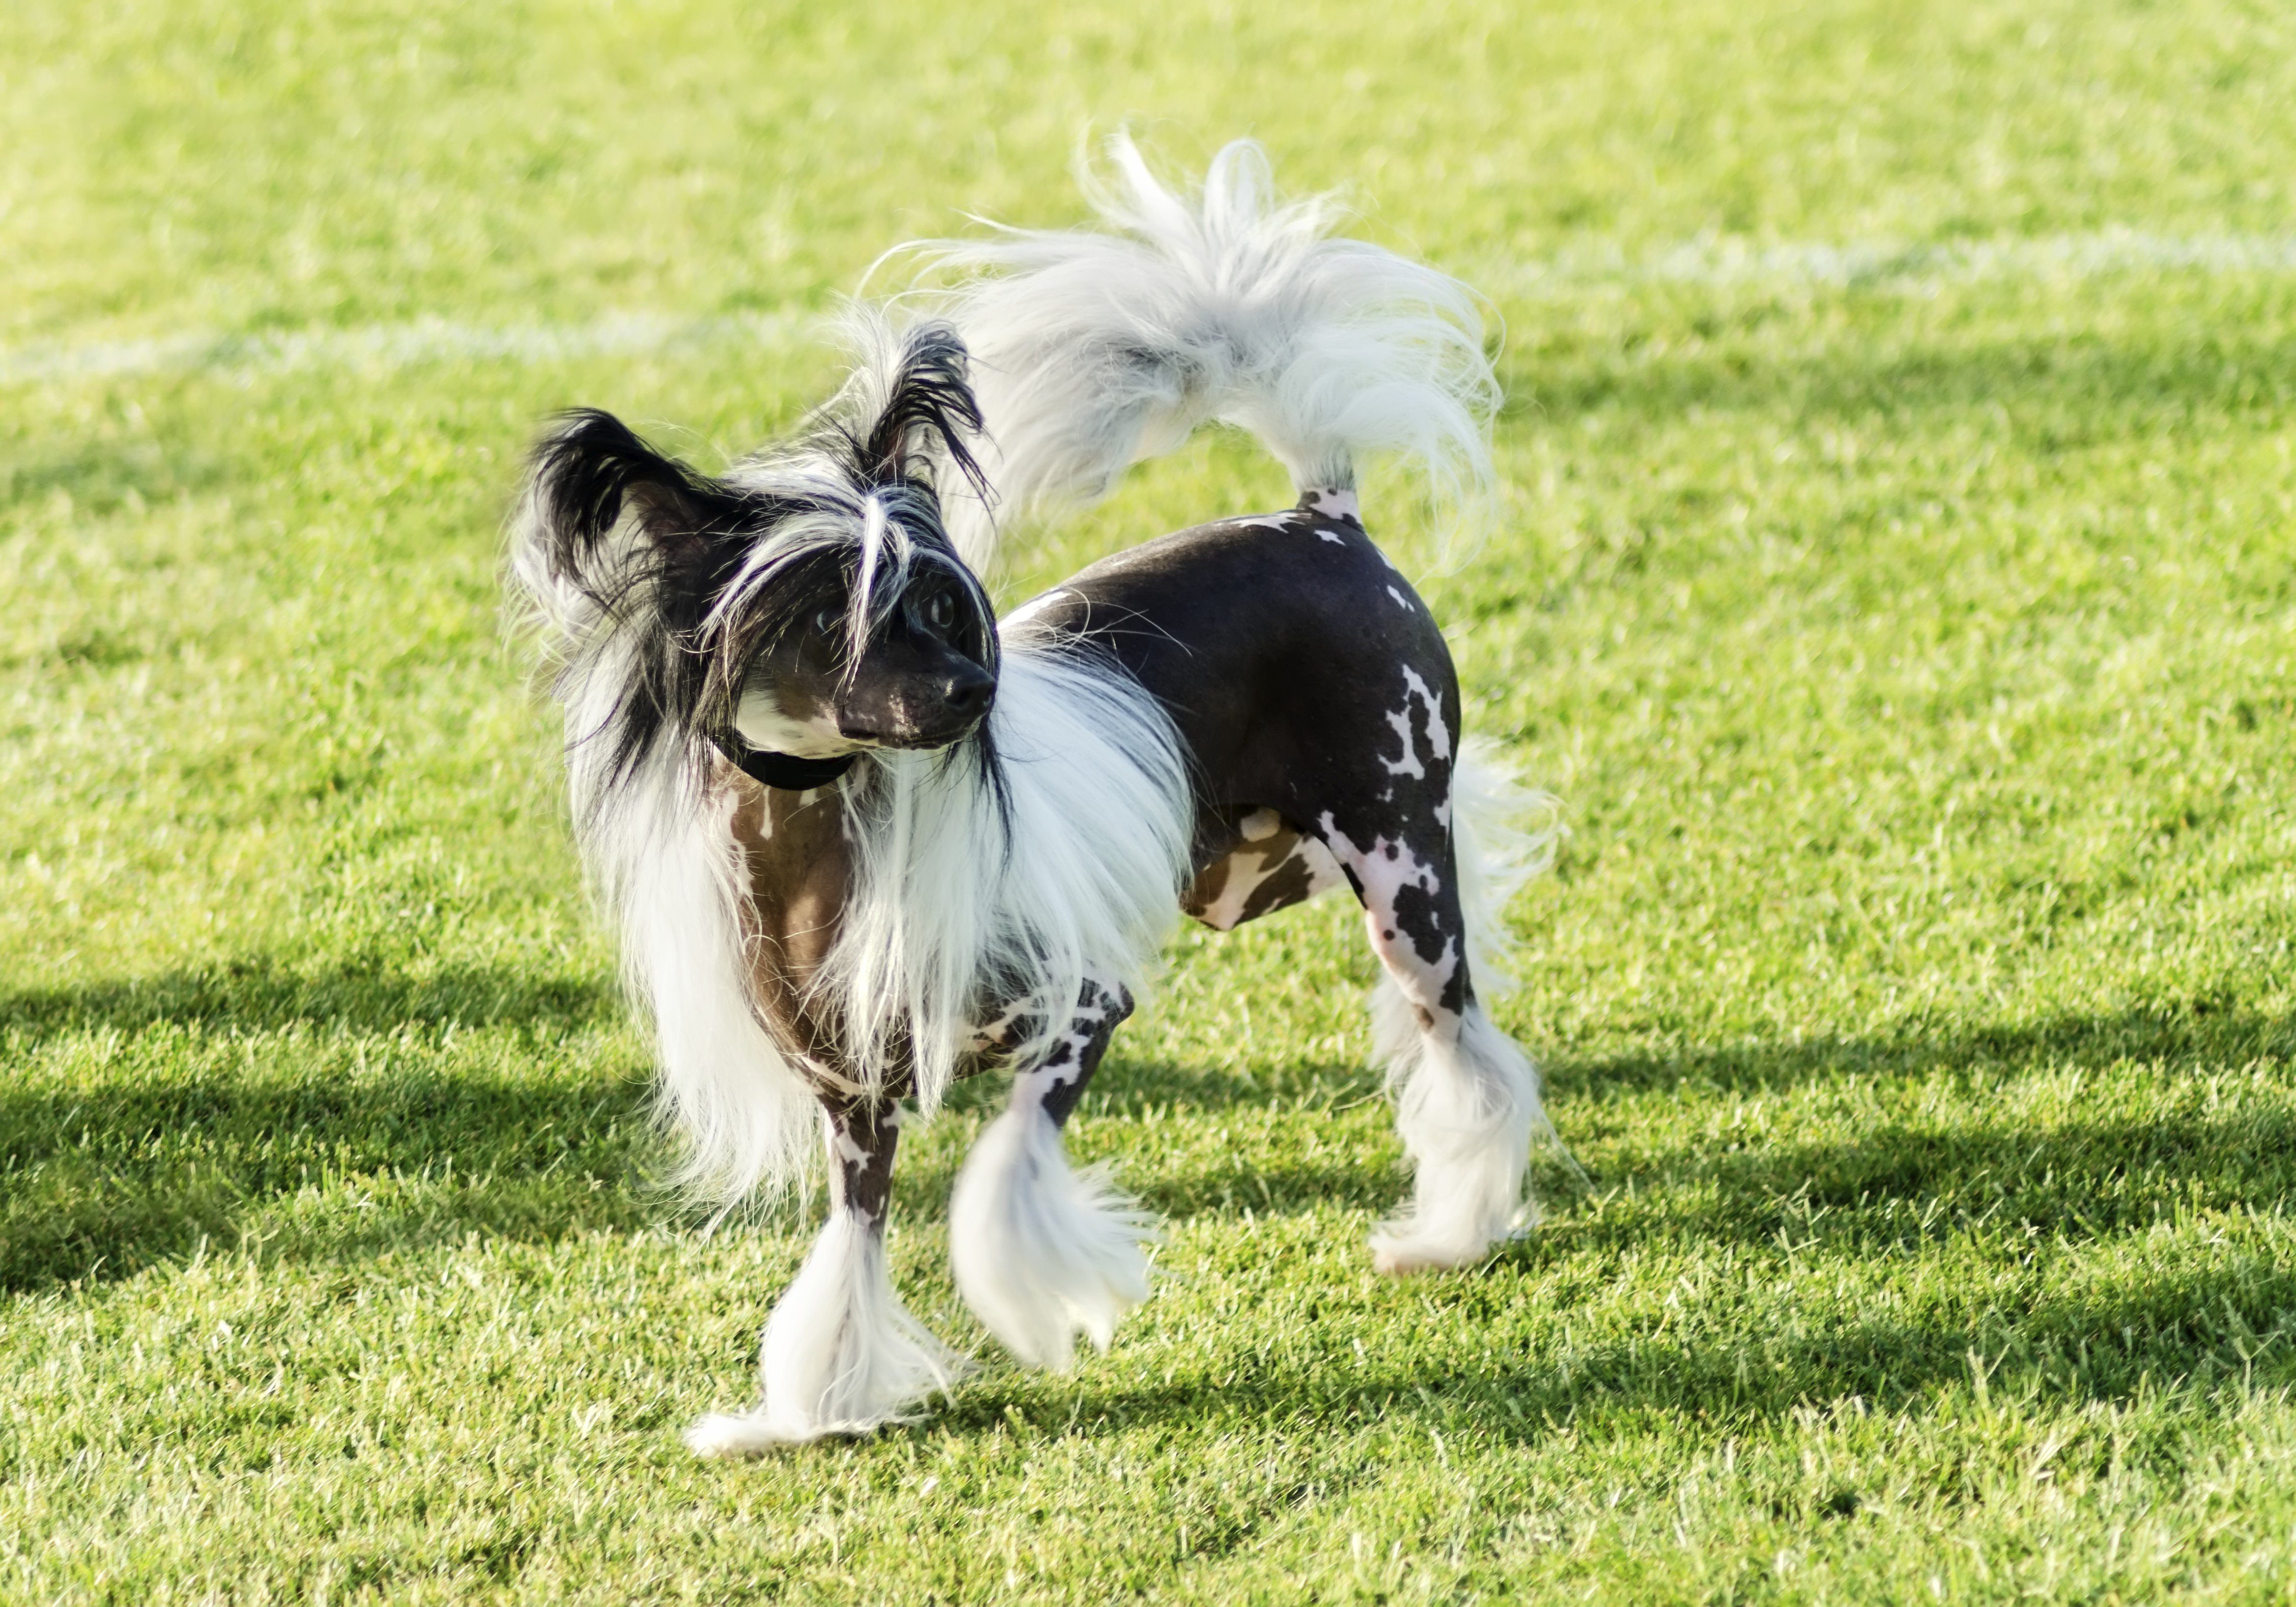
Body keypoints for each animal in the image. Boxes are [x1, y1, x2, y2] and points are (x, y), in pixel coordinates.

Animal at [512, 141, 1570, 1460]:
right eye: (826, 615)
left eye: (935, 600)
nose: (973, 689)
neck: (820, 849)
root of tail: (1319, 521)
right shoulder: (851, 1102)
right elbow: (850, 1248)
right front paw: (815, 1410)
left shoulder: (1081, 1006)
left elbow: (999, 1176)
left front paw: (1033, 1301)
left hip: (1399, 866)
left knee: (1461, 1042)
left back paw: (1452, 1231)